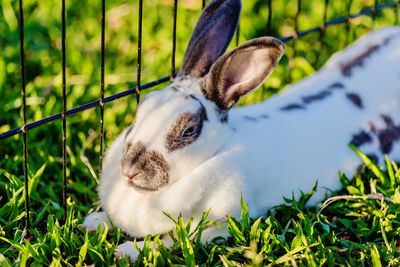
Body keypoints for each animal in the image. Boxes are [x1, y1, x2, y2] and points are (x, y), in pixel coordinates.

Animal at [83, 0, 400, 262]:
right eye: (143, 105)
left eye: (189, 130)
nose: (129, 170)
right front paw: (93, 223)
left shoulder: (216, 226)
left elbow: (171, 240)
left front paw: (127, 252)